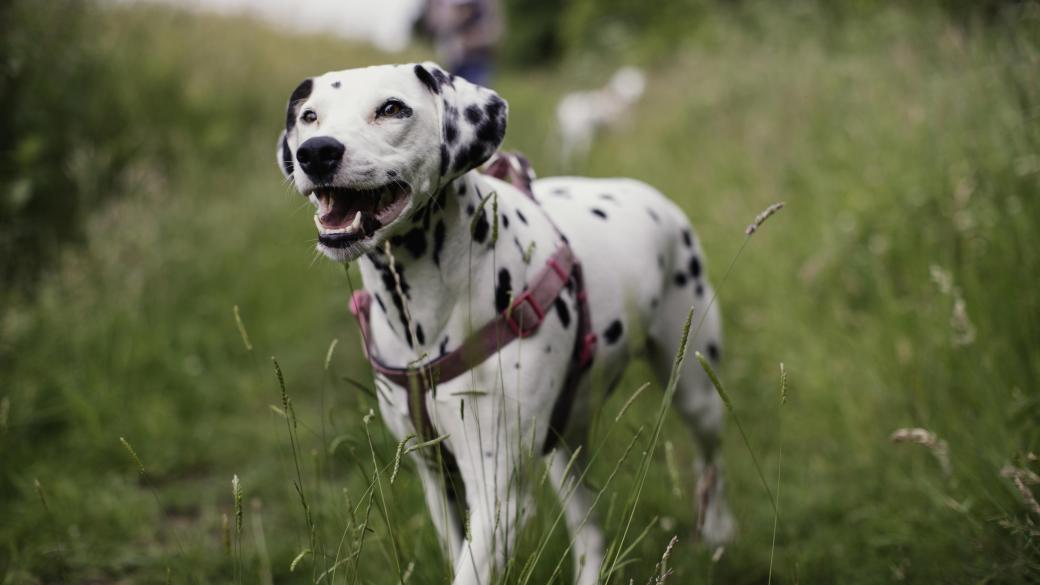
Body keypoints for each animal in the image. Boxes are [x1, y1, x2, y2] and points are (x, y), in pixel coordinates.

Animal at [276, 63, 732, 582]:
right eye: (310, 116)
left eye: (392, 108)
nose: (317, 152)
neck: (424, 319)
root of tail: (647, 192)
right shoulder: (436, 477)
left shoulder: (498, 495)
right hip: (565, 445)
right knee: (589, 528)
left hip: (696, 389)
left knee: (712, 462)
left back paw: (718, 529)